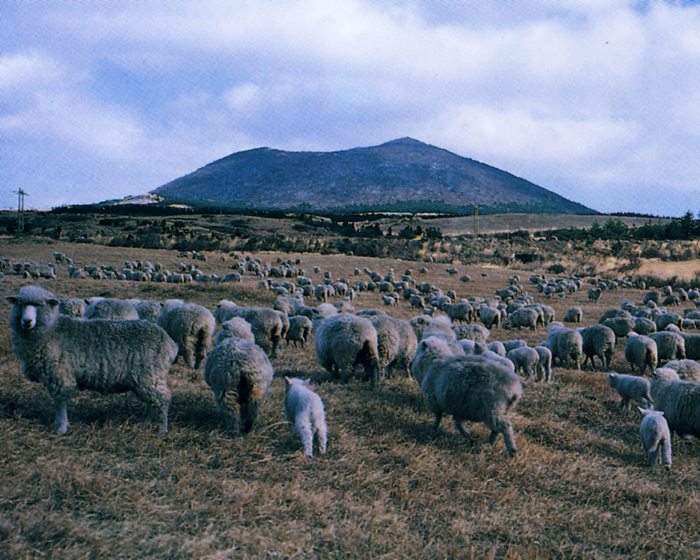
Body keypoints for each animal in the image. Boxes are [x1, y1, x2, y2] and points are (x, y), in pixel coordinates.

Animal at [7, 286, 178, 436]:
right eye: (20, 304)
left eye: (40, 305)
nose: (27, 321)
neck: (52, 330)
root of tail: (170, 342)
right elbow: (56, 402)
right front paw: (57, 424)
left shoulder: (61, 375)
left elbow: (60, 402)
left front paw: (61, 428)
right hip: (145, 379)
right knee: (151, 402)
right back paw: (144, 424)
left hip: (151, 374)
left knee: (162, 400)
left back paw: (162, 430)